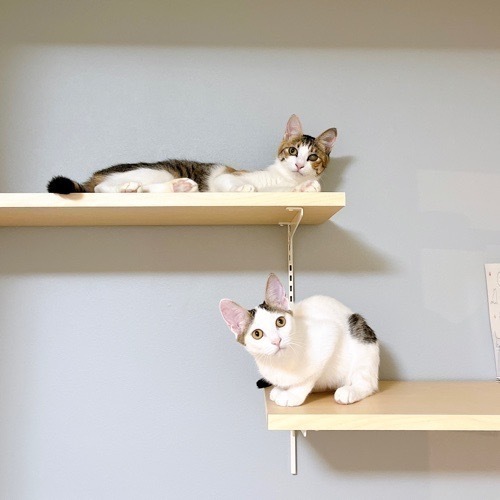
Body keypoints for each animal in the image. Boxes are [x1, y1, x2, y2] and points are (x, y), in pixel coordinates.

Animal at [46, 115, 337, 194]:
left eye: (312, 157)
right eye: (292, 151)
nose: (299, 165)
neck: (283, 180)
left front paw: (308, 187)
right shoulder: (225, 176)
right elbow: (233, 183)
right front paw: (244, 189)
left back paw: (181, 187)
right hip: (157, 170)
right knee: (100, 189)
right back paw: (129, 187)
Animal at [219, 274, 379, 406]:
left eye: (280, 321)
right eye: (257, 334)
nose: (277, 340)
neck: (280, 363)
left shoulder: (329, 333)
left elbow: (308, 377)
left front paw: (292, 394)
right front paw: (281, 389)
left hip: (361, 338)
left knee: (367, 383)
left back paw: (351, 390)